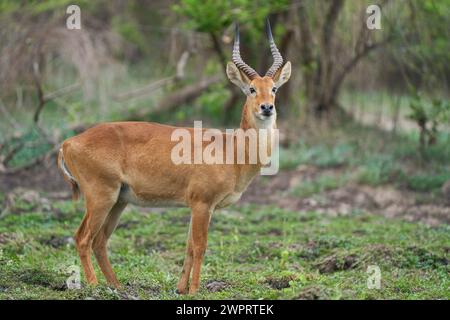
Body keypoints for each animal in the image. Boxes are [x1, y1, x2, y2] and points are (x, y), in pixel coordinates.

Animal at [57, 20, 292, 296]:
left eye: (274, 88)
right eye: (252, 89)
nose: (267, 108)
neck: (231, 152)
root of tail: (69, 142)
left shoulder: (196, 207)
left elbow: (189, 247)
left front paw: (181, 288)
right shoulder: (202, 204)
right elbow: (200, 247)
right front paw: (194, 290)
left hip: (119, 201)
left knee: (100, 240)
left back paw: (116, 286)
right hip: (100, 196)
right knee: (83, 237)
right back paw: (94, 287)